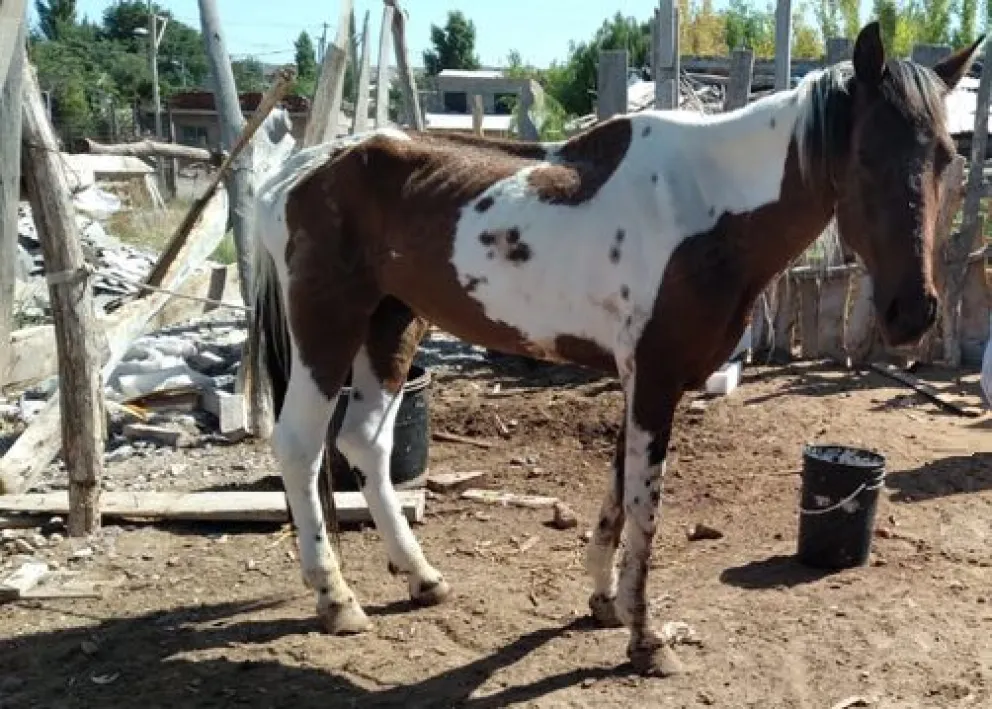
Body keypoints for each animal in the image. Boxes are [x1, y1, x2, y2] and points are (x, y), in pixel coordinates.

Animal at [246, 22, 983, 676]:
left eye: (947, 157)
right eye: (864, 157)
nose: (912, 312)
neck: (704, 207)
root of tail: (296, 172)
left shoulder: (640, 379)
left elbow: (619, 490)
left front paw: (603, 601)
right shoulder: (655, 378)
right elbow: (644, 507)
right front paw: (646, 638)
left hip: (392, 323)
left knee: (364, 442)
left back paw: (421, 577)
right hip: (328, 326)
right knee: (302, 447)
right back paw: (335, 598)